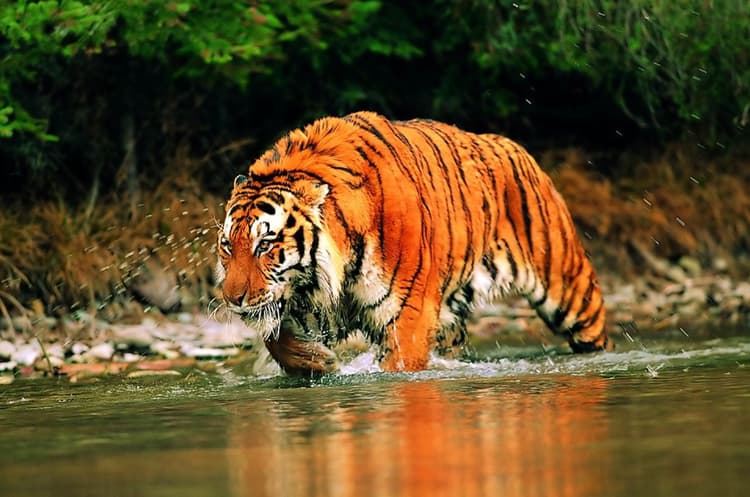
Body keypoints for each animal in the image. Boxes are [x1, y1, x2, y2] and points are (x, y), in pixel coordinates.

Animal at [216, 111, 611, 375]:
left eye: (265, 245)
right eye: (227, 247)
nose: (232, 299)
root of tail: (514, 146)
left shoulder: (407, 316)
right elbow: (275, 338)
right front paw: (317, 362)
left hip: (570, 290)